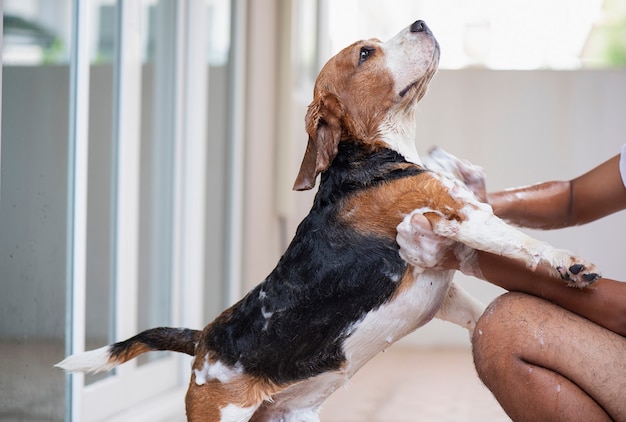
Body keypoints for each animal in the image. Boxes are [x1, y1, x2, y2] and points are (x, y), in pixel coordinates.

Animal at [56, 20, 596, 422]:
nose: (421, 21)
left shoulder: (445, 270)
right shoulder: (465, 216)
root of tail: (205, 339)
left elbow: (479, 312)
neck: (369, 153)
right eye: (365, 53)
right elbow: (521, 242)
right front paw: (568, 264)